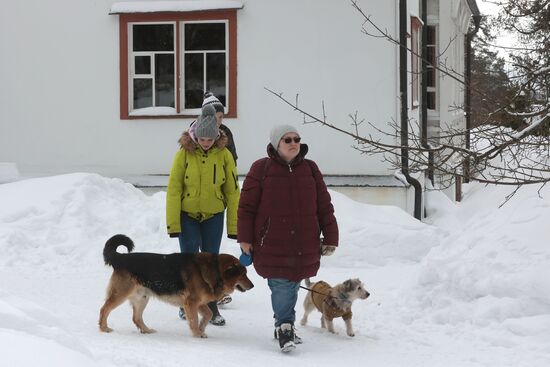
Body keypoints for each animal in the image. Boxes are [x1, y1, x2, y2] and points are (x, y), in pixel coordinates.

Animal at [99, 236, 254, 340]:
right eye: (243, 274)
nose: (252, 286)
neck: (214, 269)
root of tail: (121, 258)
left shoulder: (199, 303)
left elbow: (208, 314)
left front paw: (201, 328)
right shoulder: (191, 302)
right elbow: (194, 319)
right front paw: (197, 333)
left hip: (142, 297)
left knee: (136, 318)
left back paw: (146, 330)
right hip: (121, 294)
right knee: (104, 309)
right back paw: (103, 328)